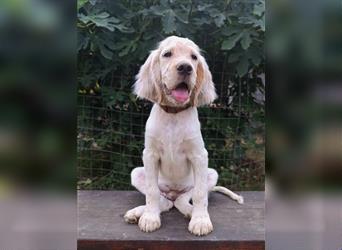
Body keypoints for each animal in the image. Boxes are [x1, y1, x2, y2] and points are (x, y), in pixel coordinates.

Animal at [124, 36, 242, 235]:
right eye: (167, 54)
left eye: (194, 57)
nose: (186, 67)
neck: (174, 114)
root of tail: (173, 191)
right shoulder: (150, 155)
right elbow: (152, 192)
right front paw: (150, 218)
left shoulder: (200, 156)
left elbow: (200, 194)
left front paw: (200, 220)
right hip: (137, 173)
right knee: (163, 201)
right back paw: (139, 212)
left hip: (210, 174)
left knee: (182, 199)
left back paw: (189, 210)